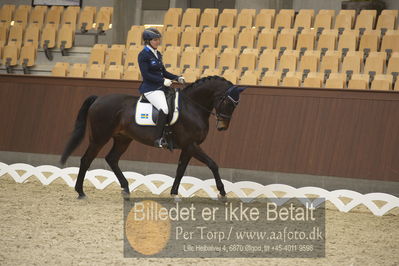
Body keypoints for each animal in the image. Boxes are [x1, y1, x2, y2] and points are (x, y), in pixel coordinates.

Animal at [60, 76, 245, 198]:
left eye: (236, 105)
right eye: (227, 102)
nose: (222, 127)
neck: (192, 107)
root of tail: (98, 99)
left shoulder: (188, 147)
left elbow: (180, 169)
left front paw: (174, 193)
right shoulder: (191, 145)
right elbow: (213, 164)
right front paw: (222, 191)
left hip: (123, 139)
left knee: (112, 159)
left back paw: (126, 188)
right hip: (100, 137)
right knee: (86, 159)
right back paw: (80, 191)